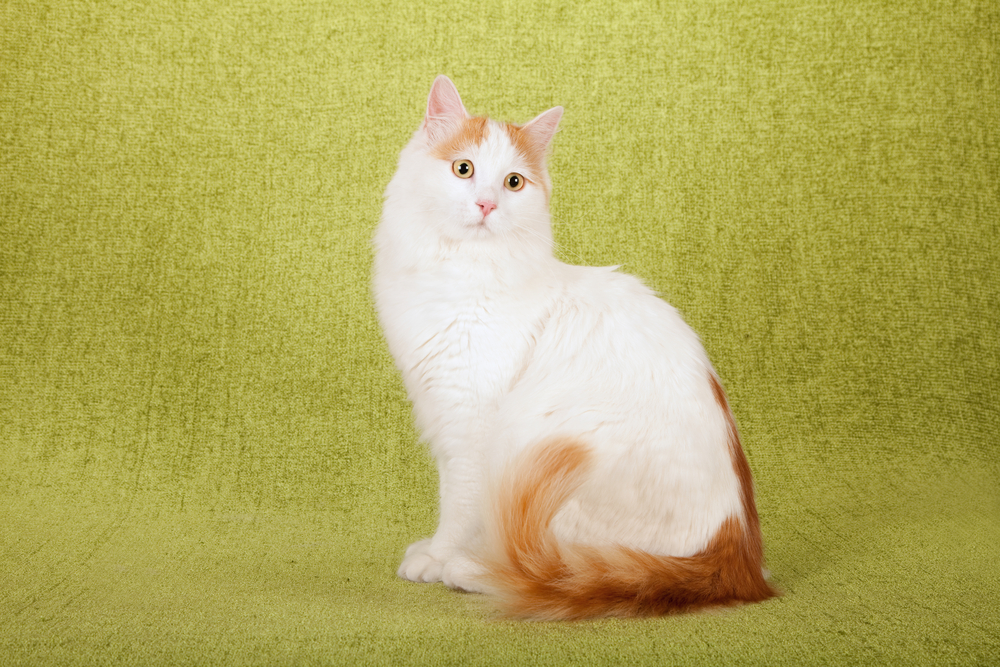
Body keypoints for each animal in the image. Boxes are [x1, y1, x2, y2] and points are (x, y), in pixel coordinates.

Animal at [372, 74, 776, 620]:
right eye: (463, 169)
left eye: (513, 183)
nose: (486, 204)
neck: (461, 272)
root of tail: (739, 560)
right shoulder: (439, 409)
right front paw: (434, 551)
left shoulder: (470, 425)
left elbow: (458, 507)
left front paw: (439, 557)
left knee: (544, 568)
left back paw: (473, 571)